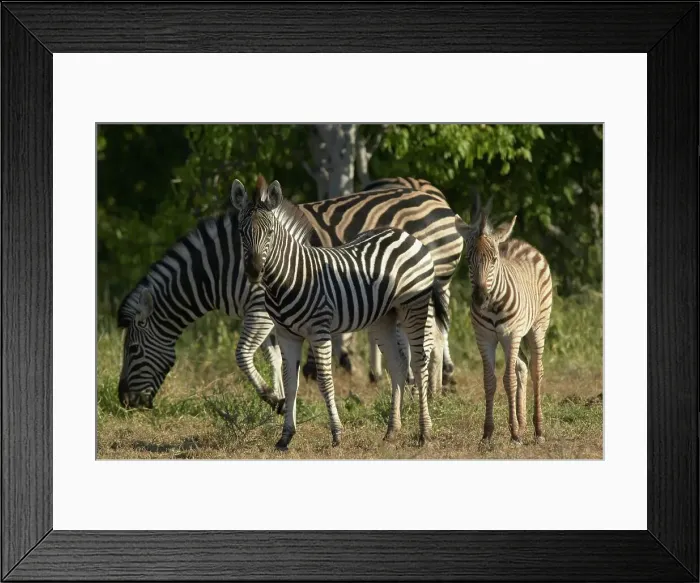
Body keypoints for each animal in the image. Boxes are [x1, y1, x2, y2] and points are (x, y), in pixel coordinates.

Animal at [454, 197, 553, 445]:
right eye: (468, 259)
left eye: (494, 260)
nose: (480, 298)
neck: (493, 305)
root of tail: (520, 242)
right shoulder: (484, 338)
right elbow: (489, 381)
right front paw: (488, 434)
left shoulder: (510, 335)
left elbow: (508, 380)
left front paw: (514, 434)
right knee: (523, 366)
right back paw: (523, 423)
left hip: (536, 327)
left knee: (536, 370)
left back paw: (538, 431)